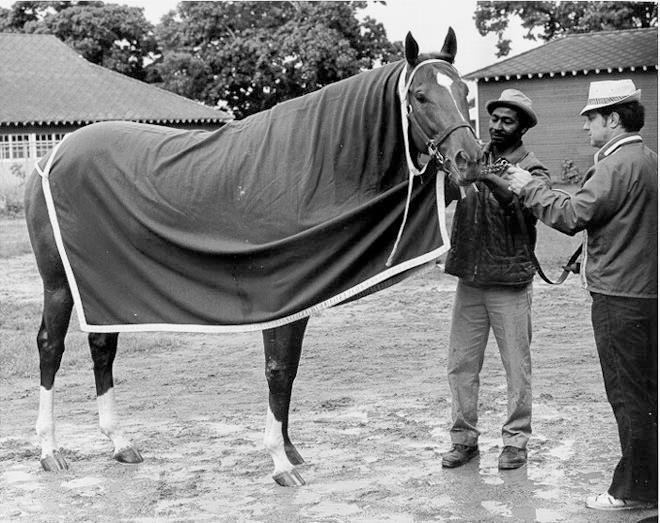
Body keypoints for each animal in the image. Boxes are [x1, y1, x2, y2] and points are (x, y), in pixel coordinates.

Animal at [23, 28, 482, 488]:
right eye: (420, 96)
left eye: (463, 90)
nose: (471, 160)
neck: (312, 170)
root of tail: (49, 158)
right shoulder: (280, 291)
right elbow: (278, 370)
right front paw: (280, 462)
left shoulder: (301, 296)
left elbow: (290, 371)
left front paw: (290, 451)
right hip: (59, 283)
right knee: (50, 346)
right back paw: (49, 451)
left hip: (106, 286)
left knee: (102, 346)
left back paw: (119, 442)